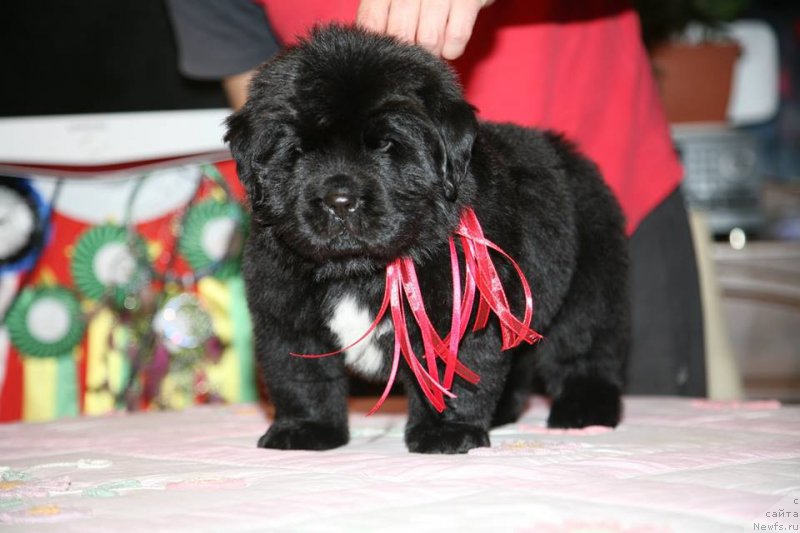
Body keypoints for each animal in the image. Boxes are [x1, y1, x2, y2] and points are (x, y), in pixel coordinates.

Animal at [225, 23, 632, 448]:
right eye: (298, 150)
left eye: (386, 145)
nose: (340, 200)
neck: (357, 273)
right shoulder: (285, 315)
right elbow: (303, 378)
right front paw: (307, 429)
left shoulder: (460, 311)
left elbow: (457, 375)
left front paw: (447, 432)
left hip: (589, 286)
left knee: (586, 350)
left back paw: (585, 411)